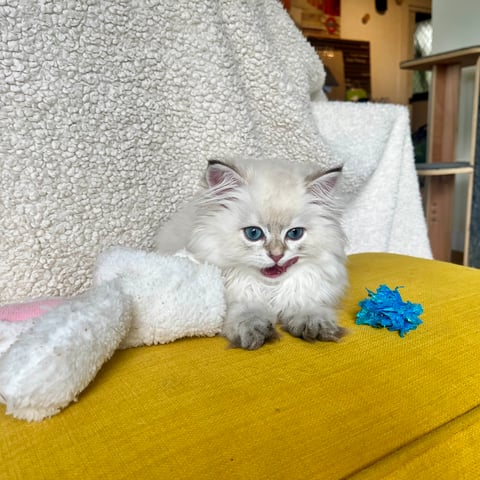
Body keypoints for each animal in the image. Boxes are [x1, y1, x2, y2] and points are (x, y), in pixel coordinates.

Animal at [156, 158, 346, 348]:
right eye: (253, 233)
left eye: (295, 233)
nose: (276, 255)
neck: (270, 290)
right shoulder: (238, 298)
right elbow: (247, 312)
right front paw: (255, 330)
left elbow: (305, 304)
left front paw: (314, 324)